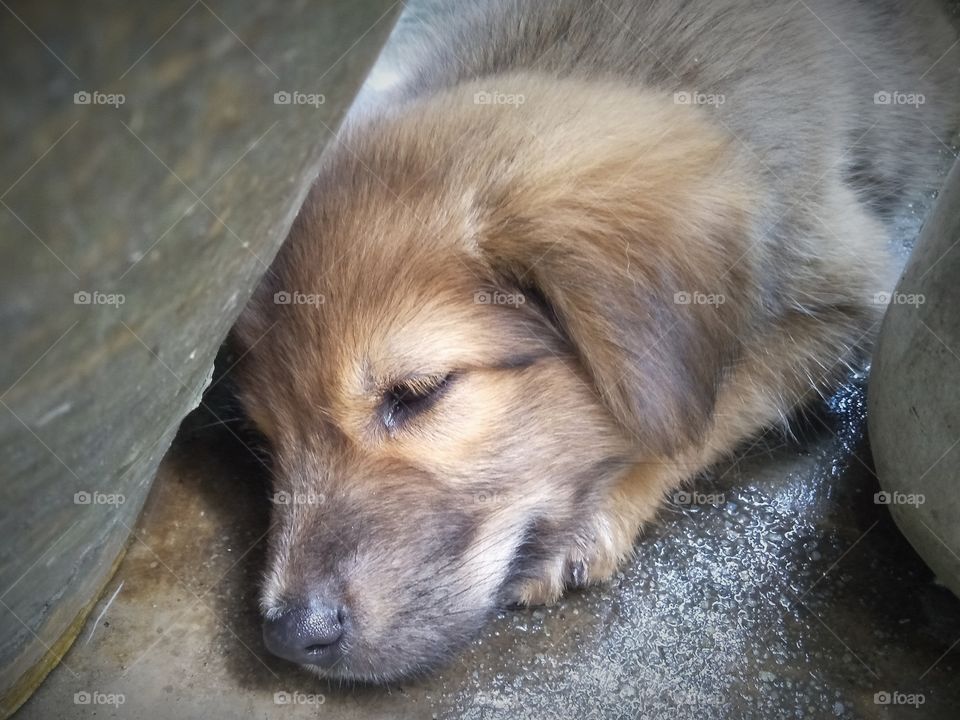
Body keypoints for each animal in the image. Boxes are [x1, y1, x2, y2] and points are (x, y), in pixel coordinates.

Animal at [229, 0, 956, 680]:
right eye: (266, 433)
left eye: (418, 392)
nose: (288, 635)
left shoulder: (849, 298)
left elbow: (709, 408)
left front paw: (595, 512)